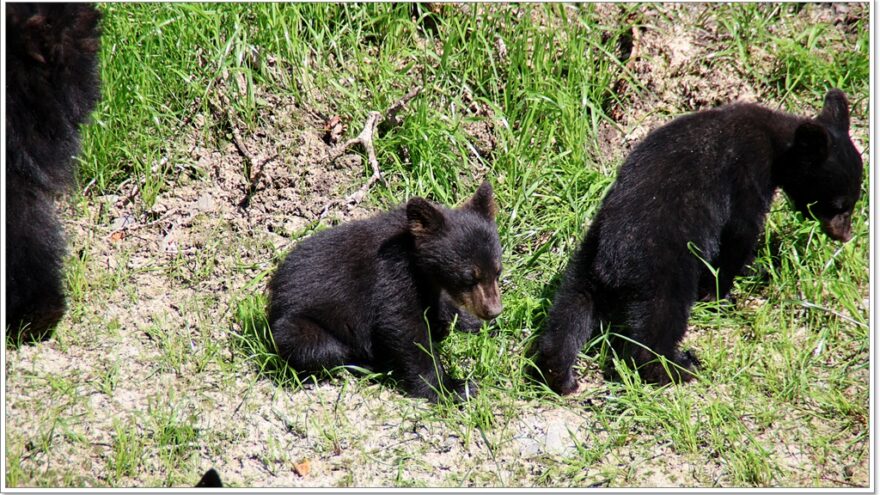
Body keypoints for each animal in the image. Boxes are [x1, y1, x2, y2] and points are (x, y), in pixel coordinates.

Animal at [268, 182, 502, 404]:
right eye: (468, 277)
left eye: (498, 271)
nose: (493, 310)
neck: (414, 256)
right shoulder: (390, 276)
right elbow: (404, 328)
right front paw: (452, 388)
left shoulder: (426, 283)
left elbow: (438, 306)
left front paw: (478, 324)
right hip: (298, 328)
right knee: (318, 347)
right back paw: (373, 364)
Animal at [532, 90, 864, 396]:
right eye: (840, 205)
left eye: (853, 200)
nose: (845, 234)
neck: (777, 141)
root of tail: (610, 261)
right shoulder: (747, 171)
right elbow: (740, 232)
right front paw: (722, 292)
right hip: (663, 268)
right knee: (658, 322)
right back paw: (678, 368)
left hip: (584, 262)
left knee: (568, 313)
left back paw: (559, 376)